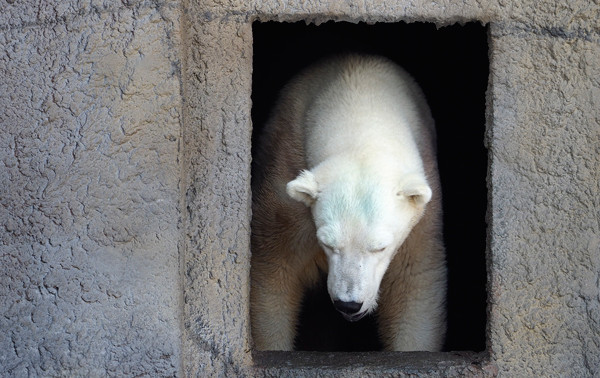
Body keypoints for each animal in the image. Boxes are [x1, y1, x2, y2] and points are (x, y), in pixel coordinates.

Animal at [250, 53, 446, 352]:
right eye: (328, 243)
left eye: (380, 247)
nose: (349, 304)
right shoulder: (285, 173)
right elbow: (275, 266)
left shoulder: (423, 211)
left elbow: (414, 279)